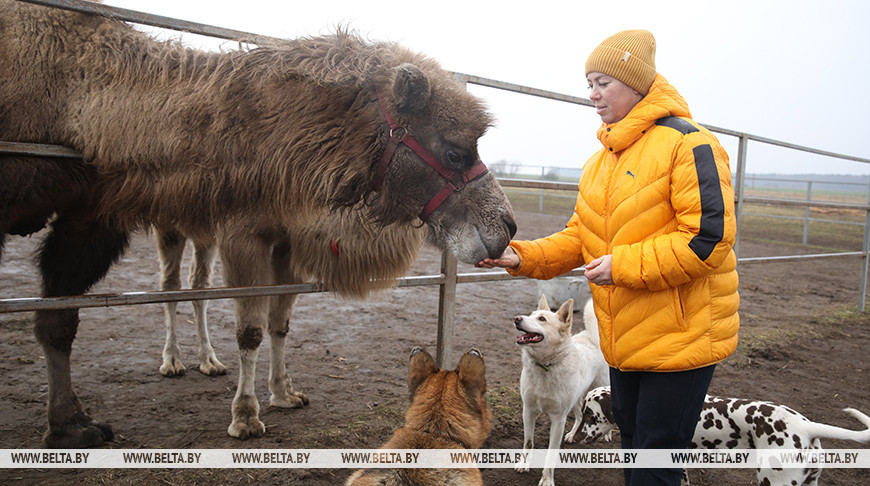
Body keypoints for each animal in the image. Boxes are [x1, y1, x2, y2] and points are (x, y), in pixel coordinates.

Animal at [1, 0, 516, 448]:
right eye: (455, 151)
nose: (507, 225)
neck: (78, 103)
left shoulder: (94, 219)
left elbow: (278, 322)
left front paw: (284, 393)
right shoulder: (241, 233)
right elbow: (249, 328)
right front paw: (245, 415)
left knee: (194, 287)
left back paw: (206, 361)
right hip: (172, 229)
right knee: (172, 286)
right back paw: (174, 361)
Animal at [516, 294, 608, 486]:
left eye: (542, 319)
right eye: (531, 314)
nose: (516, 318)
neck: (545, 366)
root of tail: (592, 336)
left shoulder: (558, 419)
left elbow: (551, 453)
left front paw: (547, 480)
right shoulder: (528, 410)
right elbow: (528, 442)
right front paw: (524, 464)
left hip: (599, 389)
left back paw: (607, 435)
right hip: (577, 399)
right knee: (580, 416)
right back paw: (572, 434)